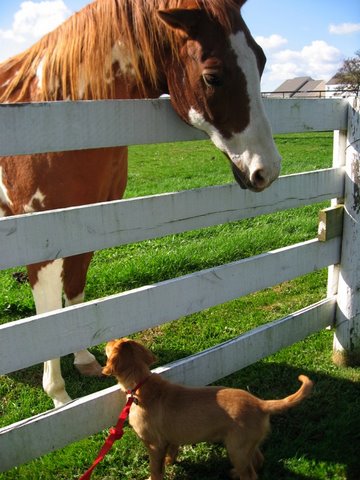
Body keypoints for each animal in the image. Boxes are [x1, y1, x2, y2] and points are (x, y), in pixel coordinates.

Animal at [0, 0, 282, 406]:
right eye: (213, 77)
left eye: (260, 60)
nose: (267, 170)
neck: (56, 115)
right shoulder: (41, 244)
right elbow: (50, 316)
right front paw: (59, 397)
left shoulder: (86, 227)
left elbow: (75, 290)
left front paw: (83, 359)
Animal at [102, 340, 314, 478]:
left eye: (111, 345)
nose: (107, 340)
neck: (141, 384)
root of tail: (261, 403)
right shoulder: (170, 439)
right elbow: (171, 454)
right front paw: (170, 463)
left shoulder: (154, 444)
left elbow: (155, 469)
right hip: (246, 445)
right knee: (258, 460)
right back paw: (235, 473)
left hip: (236, 448)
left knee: (251, 474)